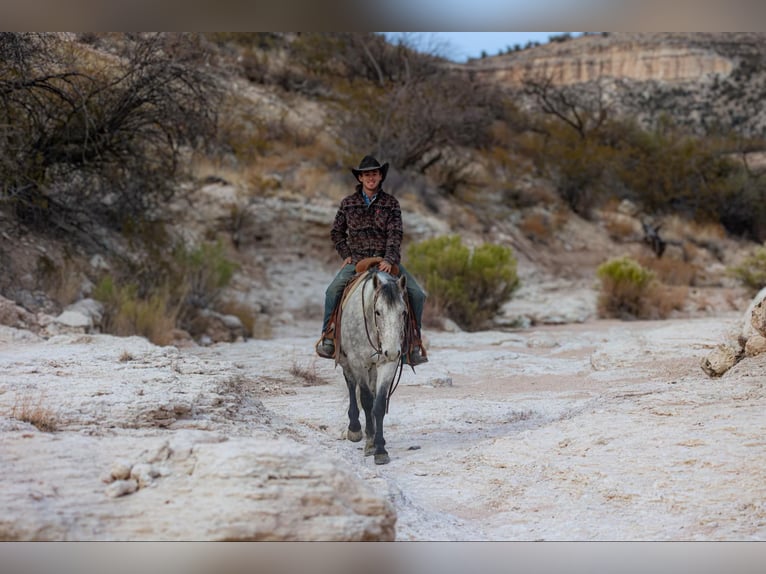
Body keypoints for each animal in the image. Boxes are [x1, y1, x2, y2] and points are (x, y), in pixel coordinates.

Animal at [337, 269, 408, 465]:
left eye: (403, 312)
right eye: (378, 312)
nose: (392, 351)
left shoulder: (387, 364)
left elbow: (379, 404)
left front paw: (380, 448)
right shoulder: (357, 362)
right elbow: (367, 401)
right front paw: (370, 444)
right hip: (346, 361)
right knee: (351, 385)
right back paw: (354, 429)